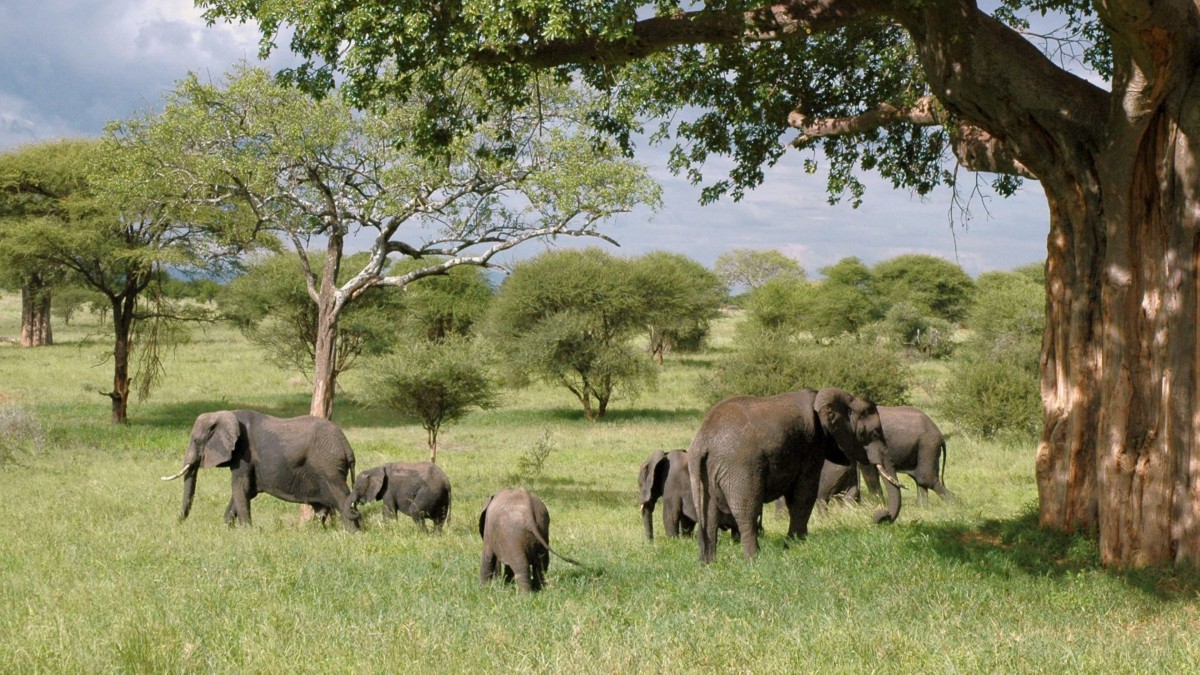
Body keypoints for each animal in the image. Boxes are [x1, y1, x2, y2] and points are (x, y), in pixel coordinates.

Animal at [162, 408, 362, 528]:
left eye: (196, 441)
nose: (178, 524)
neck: (225, 414)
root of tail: (347, 447)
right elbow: (246, 490)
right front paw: (228, 527)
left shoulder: (244, 453)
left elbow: (240, 487)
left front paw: (245, 530)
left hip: (329, 467)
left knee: (342, 497)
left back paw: (353, 533)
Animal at [686, 386, 902, 559]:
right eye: (874, 433)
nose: (880, 517)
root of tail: (703, 440)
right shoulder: (813, 444)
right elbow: (804, 493)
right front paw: (796, 545)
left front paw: (794, 544)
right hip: (740, 467)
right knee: (747, 511)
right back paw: (754, 559)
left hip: (705, 472)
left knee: (709, 515)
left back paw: (709, 564)